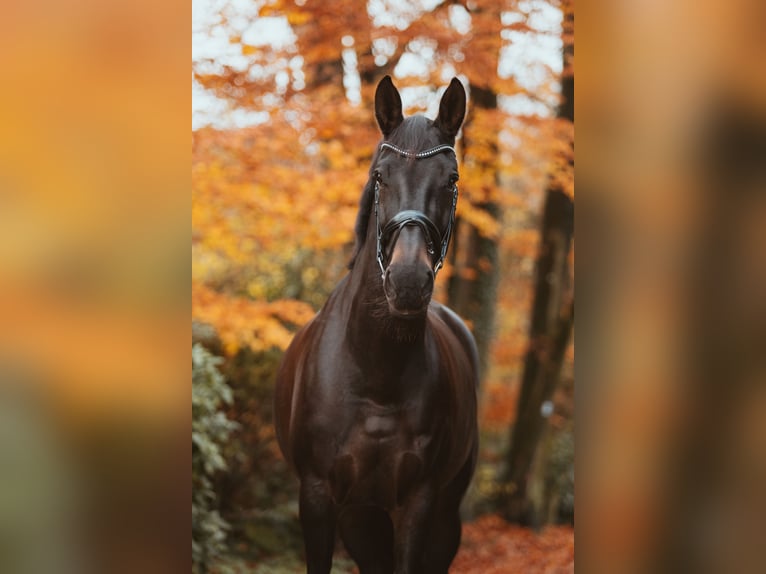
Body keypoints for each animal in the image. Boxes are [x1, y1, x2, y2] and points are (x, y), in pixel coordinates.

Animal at [276, 76, 480, 574]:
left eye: (451, 179)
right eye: (380, 176)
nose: (407, 282)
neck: (375, 375)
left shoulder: (419, 502)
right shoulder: (317, 498)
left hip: (441, 513)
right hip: (361, 517)